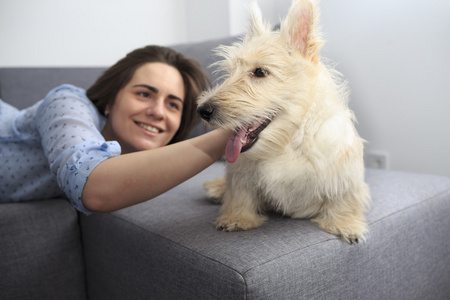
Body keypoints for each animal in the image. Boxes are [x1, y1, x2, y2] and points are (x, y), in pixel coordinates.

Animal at [197, 0, 370, 244]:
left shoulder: (344, 175)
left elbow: (344, 199)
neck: (289, 142)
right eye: (230, 72)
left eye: (260, 72)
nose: (203, 110)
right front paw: (237, 217)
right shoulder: (242, 174)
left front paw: (346, 224)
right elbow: (240, 194)